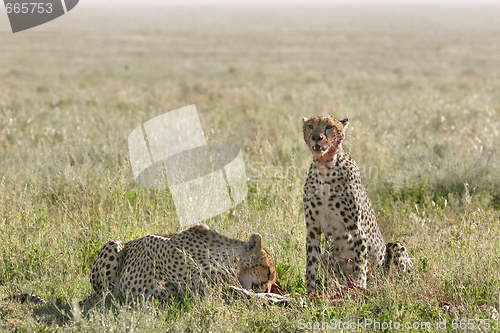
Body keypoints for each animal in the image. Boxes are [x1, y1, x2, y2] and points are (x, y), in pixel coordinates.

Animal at [302, 115, 412, 292]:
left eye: (329, 127)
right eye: (310, 126)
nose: (316, 138)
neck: (325, 165)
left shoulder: (356, 228)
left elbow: (360, 263)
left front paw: (360, 288)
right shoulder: (312, 228)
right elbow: (311, 264)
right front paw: (309, 294)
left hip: (394, 251)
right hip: (328, 255)